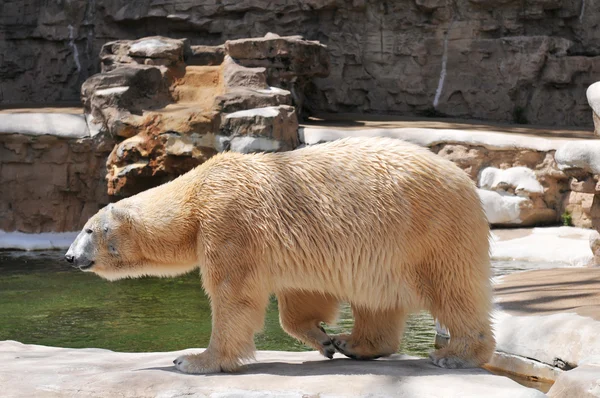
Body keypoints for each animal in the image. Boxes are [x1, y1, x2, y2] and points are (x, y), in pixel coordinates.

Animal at [67, 137, 496, 374]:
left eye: (88, 230)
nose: (70, 257)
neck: (195, 195)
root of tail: (463, 178)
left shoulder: (228, 221)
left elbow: (233, 295)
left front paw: (195, 360)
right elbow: (301, 296)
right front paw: (323, 339)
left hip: (428, 230)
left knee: (453, 288)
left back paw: (457, 354)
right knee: (376, 297)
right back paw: (355, 344)